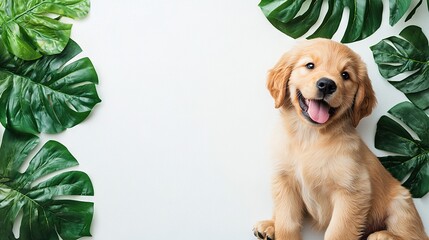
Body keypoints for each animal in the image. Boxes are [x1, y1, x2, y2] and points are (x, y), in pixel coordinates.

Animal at [252, 38, 426, 240]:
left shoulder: (353, 191)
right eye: (310, 65)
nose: (327, 84)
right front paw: (279, 228)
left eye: (345, 75)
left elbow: (339, 232)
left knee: (415, 235)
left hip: (401, 202)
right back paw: (270, 226)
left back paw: (385, 235)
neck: (310, 137)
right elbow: (286, 223)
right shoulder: (284, 181)